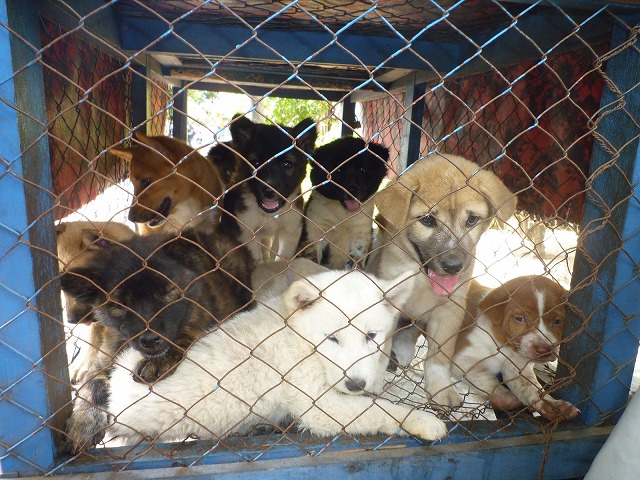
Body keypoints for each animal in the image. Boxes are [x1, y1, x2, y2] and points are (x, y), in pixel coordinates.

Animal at [61, 227, 254, 452]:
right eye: (119, 306)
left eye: (168, 292)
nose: (151, 340)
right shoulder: (105, 358)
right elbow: (91, 386)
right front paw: (82, 424)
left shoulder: (206, 316)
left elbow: (189, 332)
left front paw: (160, 360)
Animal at [102, 270, 448, 446]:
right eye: (332, 338)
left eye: (371, 336)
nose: (354, 384)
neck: (300, 337)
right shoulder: (319, 406)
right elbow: (380, 410)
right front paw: (422, 420)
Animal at [302, 137, 390, 268]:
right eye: (338, 170)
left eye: (363, 169)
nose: (353, 191)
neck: (343, 215)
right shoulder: (315, 231)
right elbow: (311, 258)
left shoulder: (361, 233)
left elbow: (355, 258)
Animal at [368, 152, 516, 406]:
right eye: (427, 220)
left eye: (472, 220)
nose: (453, 266)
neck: (421, 277)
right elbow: (381, 349)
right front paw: (375, 379)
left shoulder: (450, 310)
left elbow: (439, 355)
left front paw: (439, 388)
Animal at [452, 276, 584, 422]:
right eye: (519, 318)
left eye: (557, 321)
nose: (544, 350)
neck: (505, 345)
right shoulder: (462, 358)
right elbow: (483, 375)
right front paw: (504, 398)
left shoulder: (517, 368)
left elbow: (531, 387)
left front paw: (552, 405)